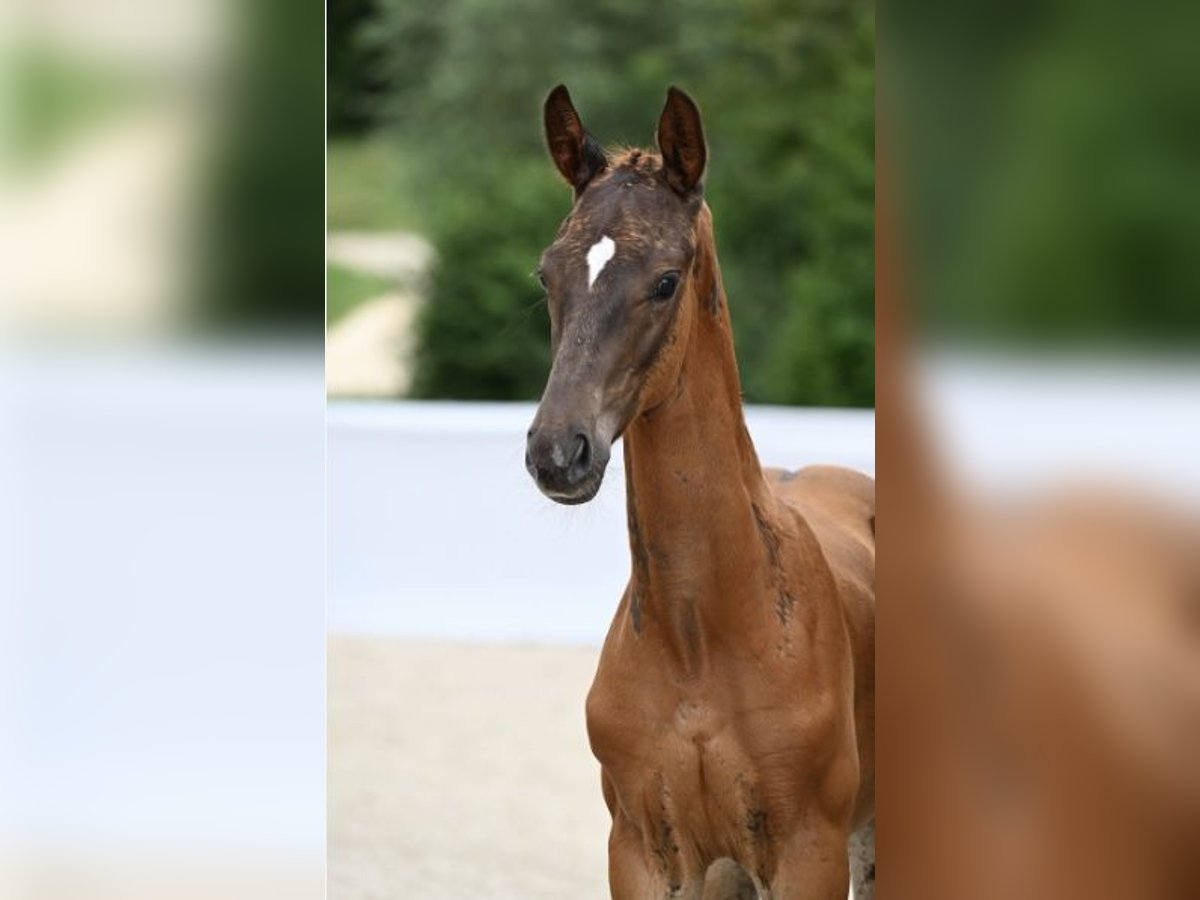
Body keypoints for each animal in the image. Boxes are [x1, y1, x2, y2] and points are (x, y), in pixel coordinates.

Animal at [525, 86, 873, 900]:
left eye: (664, 280)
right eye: (548, 275)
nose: (558, 451)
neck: (700, 643)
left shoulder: (811, 854)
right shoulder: (644, 853)